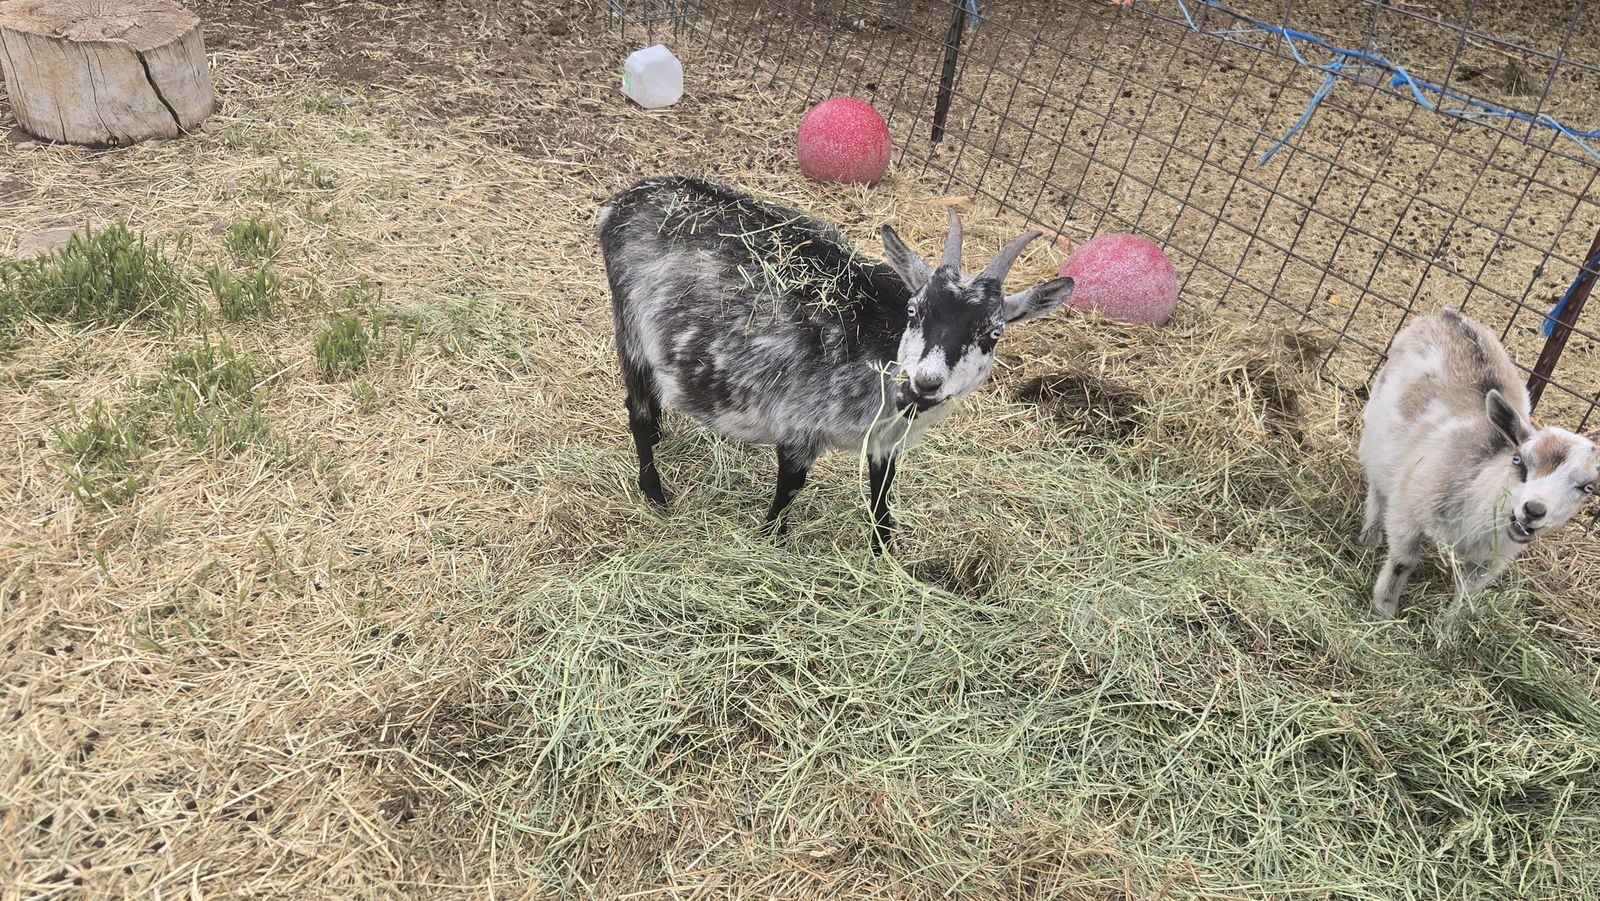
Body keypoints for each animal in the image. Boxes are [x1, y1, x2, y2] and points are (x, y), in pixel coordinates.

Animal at [596, 175, 1075, 551]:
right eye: (915, 311)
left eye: (992, 334)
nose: (926, 383)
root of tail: (620, 203)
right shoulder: (799, 423)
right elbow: (791, 486)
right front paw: (770, 539)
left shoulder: (885, 440)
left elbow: (882, 491)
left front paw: (884, 554)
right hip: (632, 328)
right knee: (637, 408)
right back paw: (654, 491)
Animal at [1358, 309, 1598, 617]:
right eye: (1519, 460)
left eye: (1587, 487)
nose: (1533, 510)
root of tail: (1449, 314)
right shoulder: (1407, 512)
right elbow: (1403, 562)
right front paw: (1385, 611)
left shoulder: (1493, 560)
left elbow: (1466, 593)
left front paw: (1447, 624)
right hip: (1377, 435)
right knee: (1378, 485)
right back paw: (1370, 537)